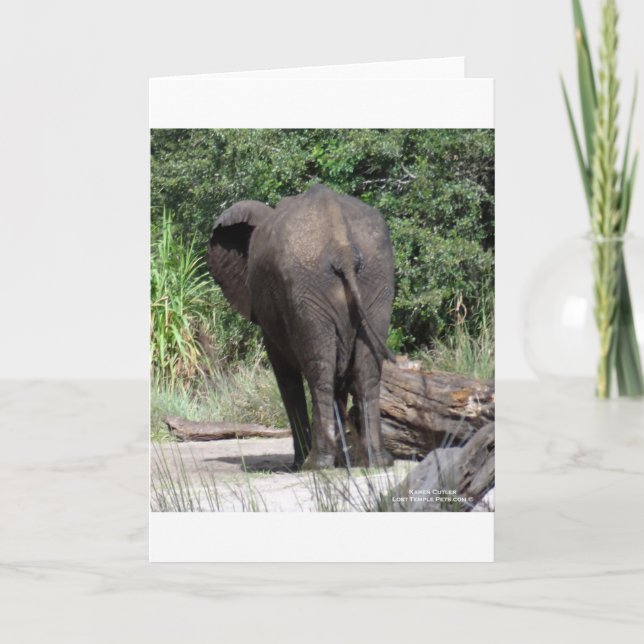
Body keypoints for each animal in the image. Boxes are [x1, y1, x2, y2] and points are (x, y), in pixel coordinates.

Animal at [206, 184, 395, 470]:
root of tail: (342, 246)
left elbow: (285, 376)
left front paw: (300, 463)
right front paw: (342, 461)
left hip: (306, 290)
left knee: (320, 375)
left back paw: (315, 464)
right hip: (377, 280)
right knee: (367, 372)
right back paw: (377, 461)